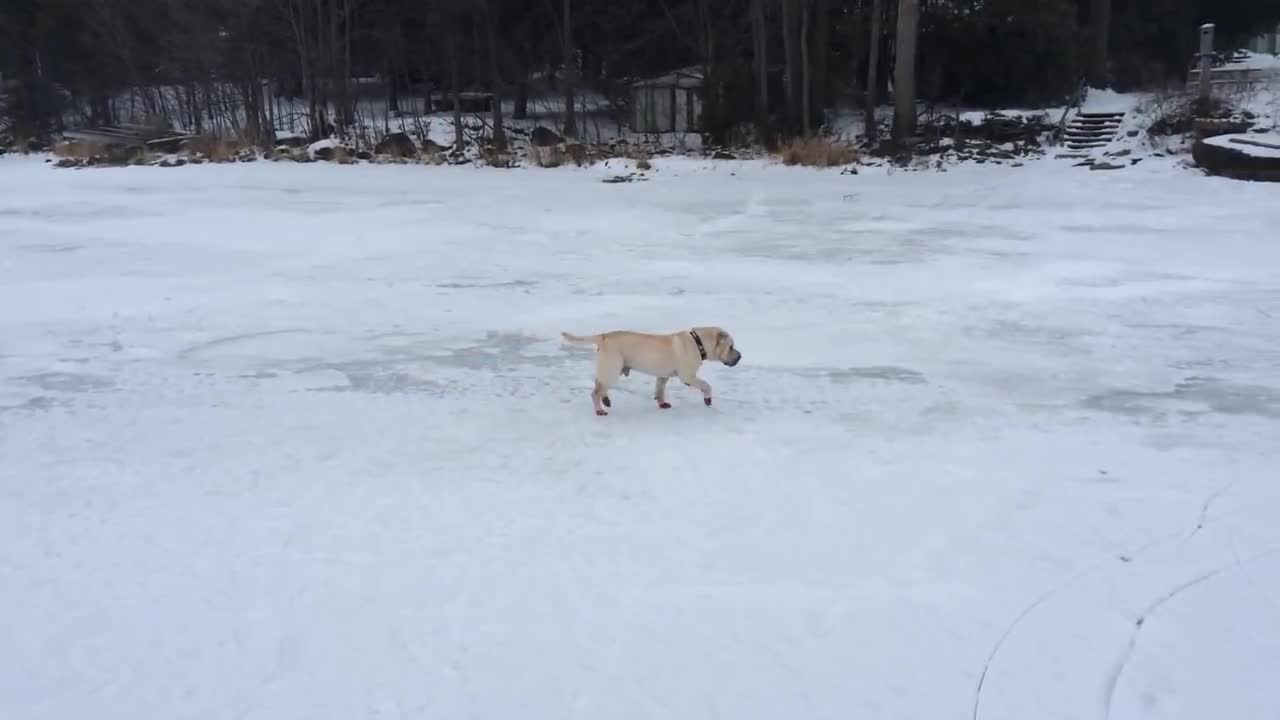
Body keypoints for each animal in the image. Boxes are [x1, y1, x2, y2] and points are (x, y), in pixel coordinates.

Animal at [558, 325, 742, 415]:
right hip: (612, 369)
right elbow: (706, 385)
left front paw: (661, 403)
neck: (699, 343)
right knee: (595, 391)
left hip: (608, 369)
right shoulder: (688, 377)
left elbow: (659, 390)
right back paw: (599, 410)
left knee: (599, 385)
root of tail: (603, 336)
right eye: (731, 347)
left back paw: (606, 400)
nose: (740, 356)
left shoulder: (662, 376)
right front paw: (708, 399)